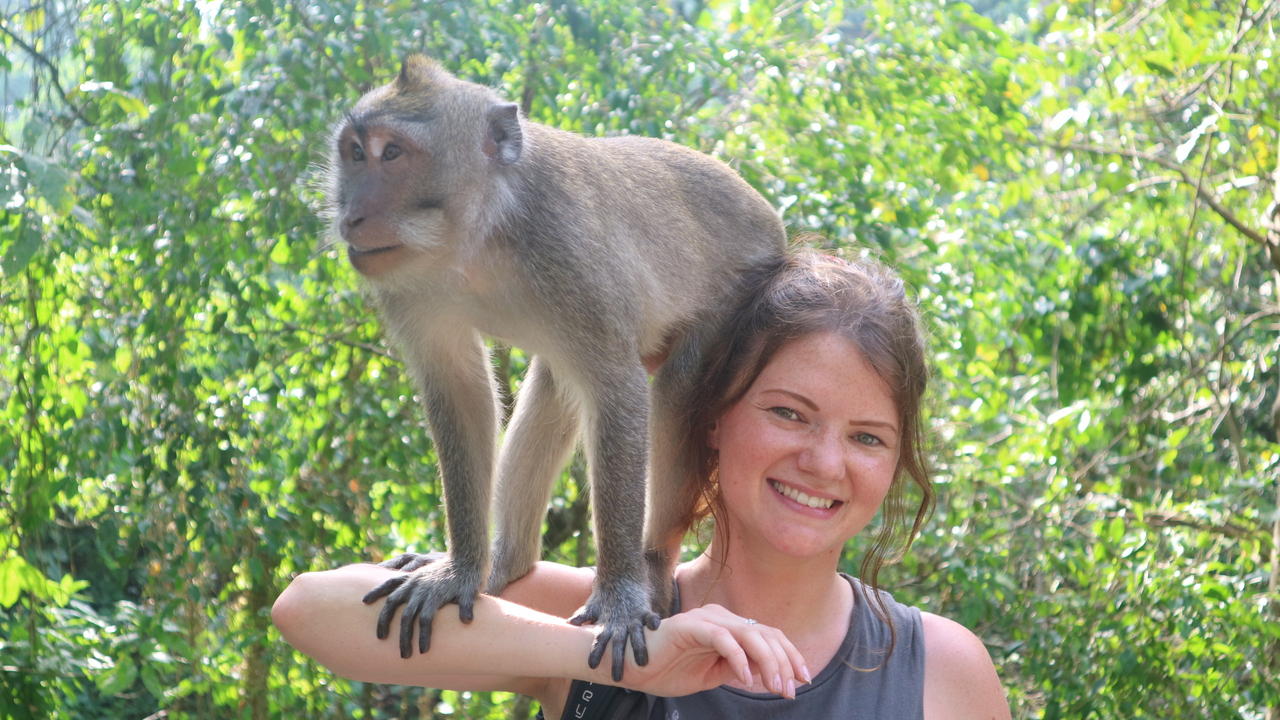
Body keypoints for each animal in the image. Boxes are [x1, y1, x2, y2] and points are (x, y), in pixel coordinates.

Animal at [323, 56, 786, 681]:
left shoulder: (566, 249)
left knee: (674, 395)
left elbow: (617, 390)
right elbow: (460, 391)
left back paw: (651, 563)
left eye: (392, 153)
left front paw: (618, 596)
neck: (479, 236)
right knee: (555, 390)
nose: (352, 214)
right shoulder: (409, 287)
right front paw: (459, 570)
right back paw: (506, 564)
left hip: (741, 299)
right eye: (354, 152)